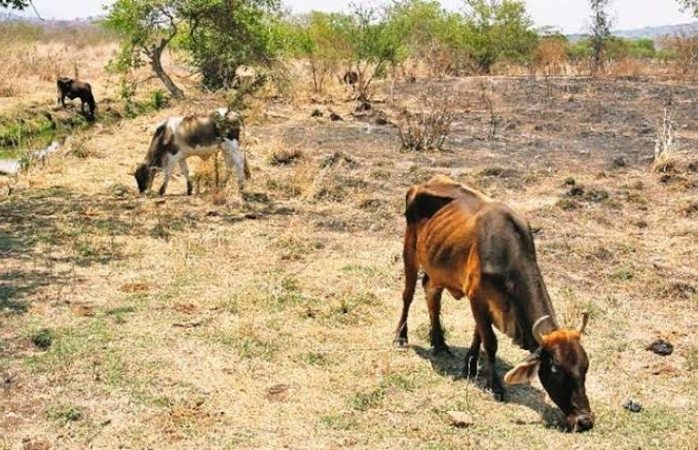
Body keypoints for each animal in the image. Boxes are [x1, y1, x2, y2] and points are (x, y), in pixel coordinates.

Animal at [392, 175, 592, 432]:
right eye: (556, 369)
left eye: (585, 367)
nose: (585, 420)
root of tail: (422, 184)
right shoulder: (476, 296)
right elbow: (490, 341)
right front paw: (495, 384)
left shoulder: (487, 302)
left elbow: (479, 333)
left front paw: (469, 364)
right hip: (410, 251)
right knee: (407, 294)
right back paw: (401, 336)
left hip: (437, 267)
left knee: (431, 293)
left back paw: (439, 343)